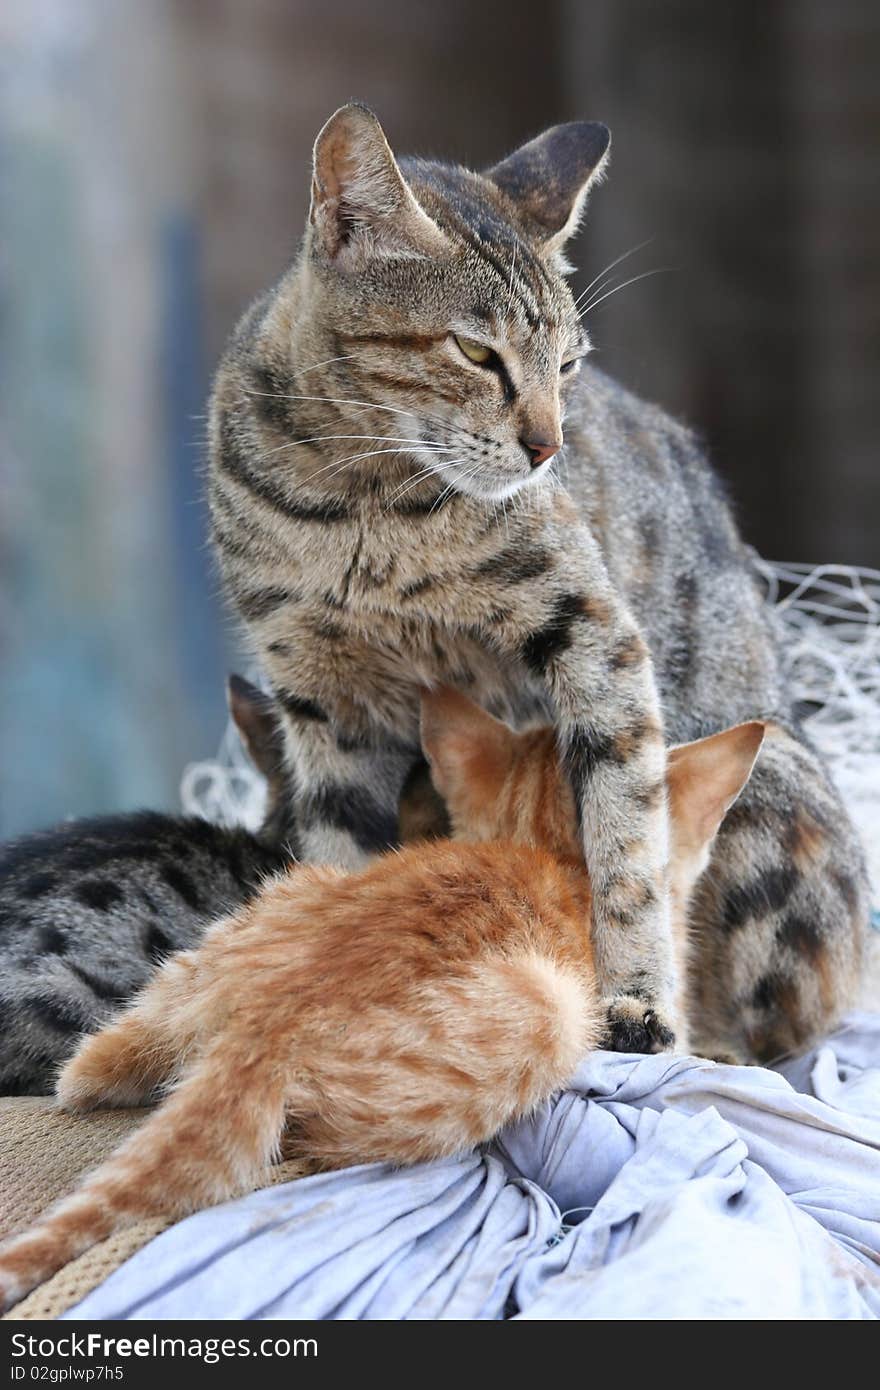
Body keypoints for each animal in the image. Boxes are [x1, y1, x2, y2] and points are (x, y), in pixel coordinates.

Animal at [207, 102, 867, 1056]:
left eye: (568, 366)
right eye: (476, 352)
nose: (548, 447)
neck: (361, 503)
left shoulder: (596, 636)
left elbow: (625, 843)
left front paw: (635, 997)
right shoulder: (324, 691)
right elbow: (337, 847)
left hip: (772, 797)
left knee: (775, 1038)